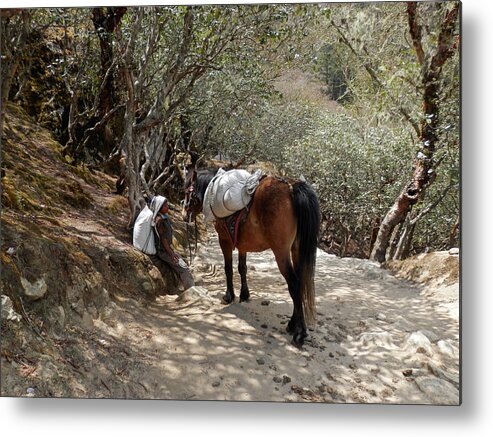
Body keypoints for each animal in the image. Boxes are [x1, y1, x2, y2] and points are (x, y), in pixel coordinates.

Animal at [183, 168, 320, 348]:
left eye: (186, 191)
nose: (184, 215)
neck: (213, 189)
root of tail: (292, 187)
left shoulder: (224, 240)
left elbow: (228, 268)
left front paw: (229, 296)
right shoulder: (243, 245)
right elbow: (242, 268)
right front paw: (244, 294)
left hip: (281, 253)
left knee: (294, 284)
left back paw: (300, 334)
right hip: (296, 250)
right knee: (300, 282)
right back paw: (292, 325)